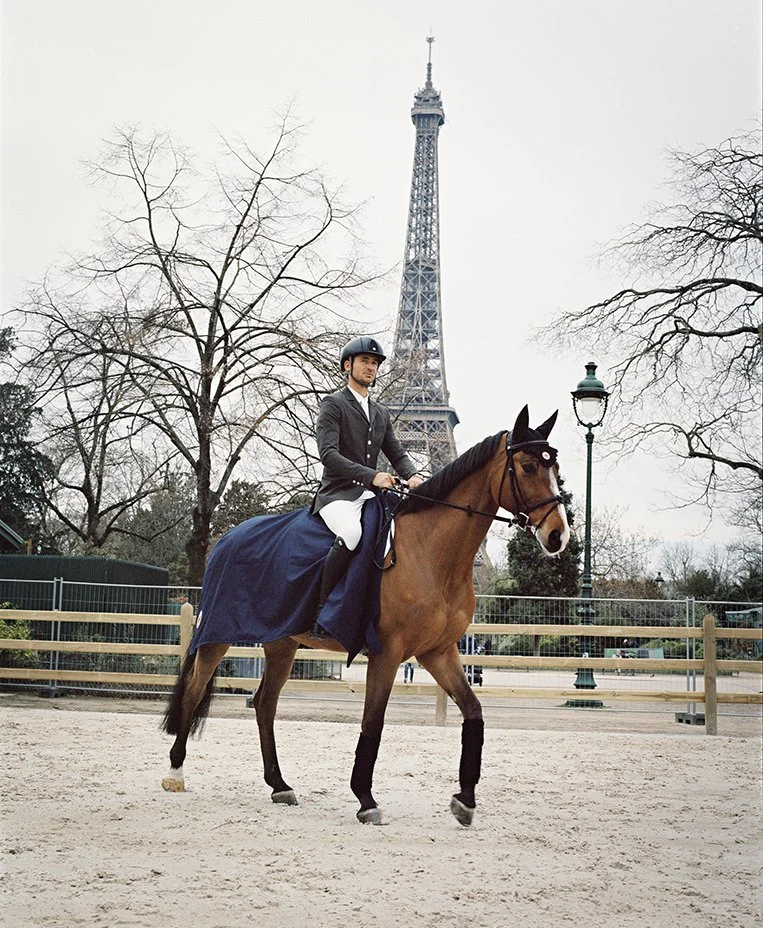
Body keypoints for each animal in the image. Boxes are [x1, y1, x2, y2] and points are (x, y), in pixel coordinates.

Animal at [161, 406, 570, 825]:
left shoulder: (437, 652)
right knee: (194, 689)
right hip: (217, 636)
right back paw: (176, 772)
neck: (432, 553)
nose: (559, 535)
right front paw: (366, 799)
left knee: (264, 704)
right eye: (527, 467)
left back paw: (280, 785)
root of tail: (226, 538)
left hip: (282, 642)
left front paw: (465, 800)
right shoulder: (387, 652)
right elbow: (373, 722)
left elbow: (474, 711)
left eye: (555, 467)